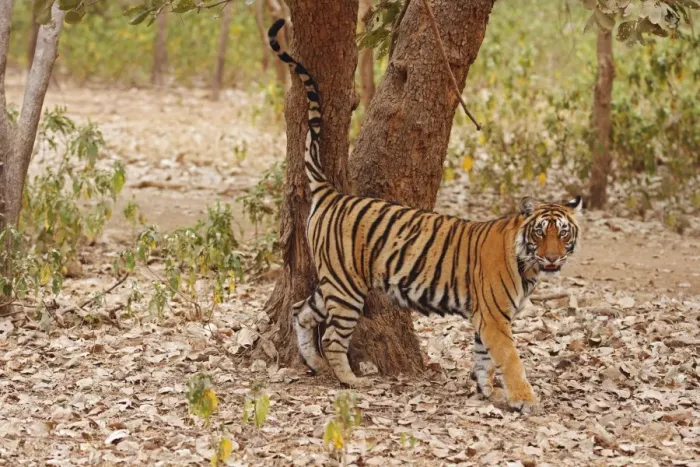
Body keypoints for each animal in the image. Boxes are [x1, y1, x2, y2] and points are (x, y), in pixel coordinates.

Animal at [268, 19, 582, 413]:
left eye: (563, 233)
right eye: (541, 232)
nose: (553, 258)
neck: (526, 263)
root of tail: (332, 193)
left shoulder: (485, 318)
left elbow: (484, 358)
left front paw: (488, 392)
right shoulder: (495, 317)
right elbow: (510, 359)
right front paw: (525, 400)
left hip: (333, 284)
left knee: (301, 309)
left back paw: (314, 363)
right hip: (346, 287)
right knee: (334, 337)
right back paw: (350, 380)